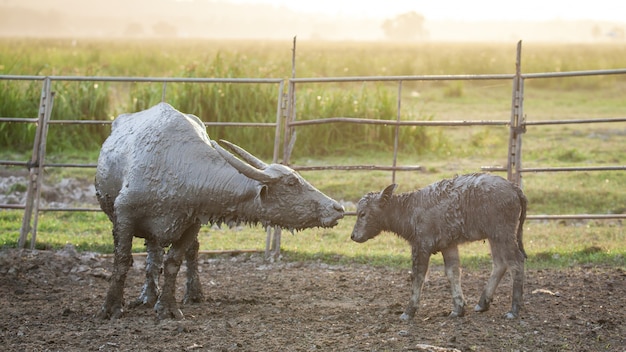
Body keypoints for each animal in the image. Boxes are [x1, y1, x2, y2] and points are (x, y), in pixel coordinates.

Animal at [95, 102, 344, 320]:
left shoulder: (192, 222)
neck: (176, 166)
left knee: (182, 253)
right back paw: (146, 297)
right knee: (152, 254)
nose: (338, 208)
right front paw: (110, 308)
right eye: (292, 183)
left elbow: (174, 262)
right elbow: (121, 260)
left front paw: (167, 308)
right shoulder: (124, 216)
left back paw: (190, 294)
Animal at [348, 174, 524, 322]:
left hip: (503, 233)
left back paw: (513, 310)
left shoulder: (421, 246)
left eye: (362, 214)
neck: (410, 211)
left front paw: (408, 312)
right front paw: (458, 309)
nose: (353, 236)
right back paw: (482, 303)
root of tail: (514, 187)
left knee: (516, 263)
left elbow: (418, 276)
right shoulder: (448, 245)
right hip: (495, 236)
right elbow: (453, 273)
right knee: (500, 263)